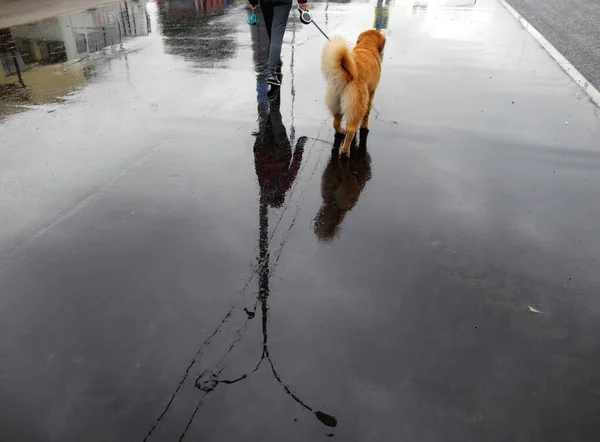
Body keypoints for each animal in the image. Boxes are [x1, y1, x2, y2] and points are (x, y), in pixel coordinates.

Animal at [322, 29, 386, 157]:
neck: (367, 46)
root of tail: (347, 74)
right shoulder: (371, 94)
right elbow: (367, 113)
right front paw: (365, 127)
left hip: (337, 103)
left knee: (336, 122)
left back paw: (341, 131)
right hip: (358, 104)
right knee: (351, 129)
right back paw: (345, 151)